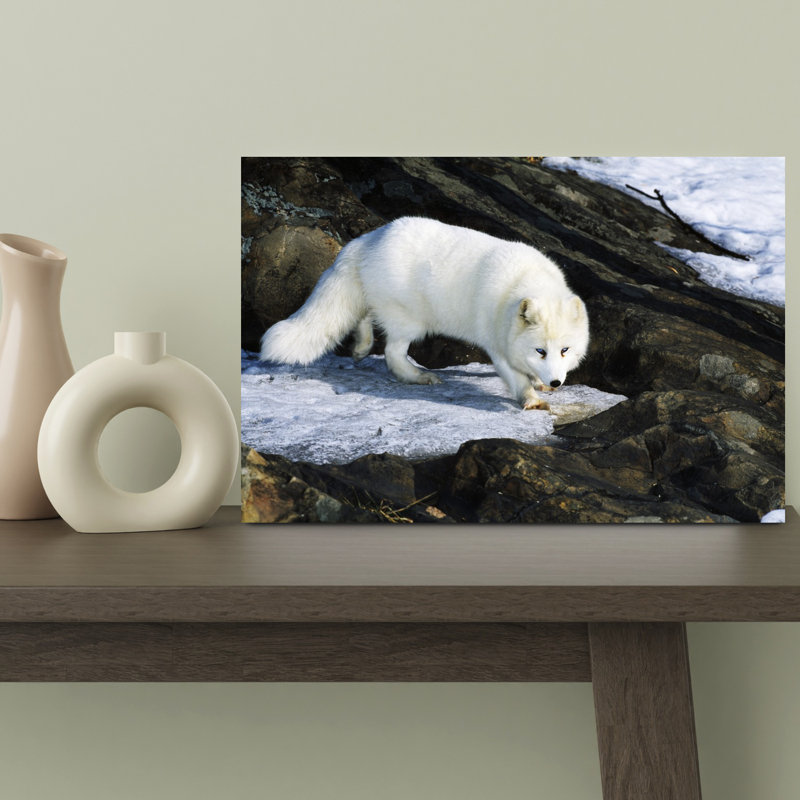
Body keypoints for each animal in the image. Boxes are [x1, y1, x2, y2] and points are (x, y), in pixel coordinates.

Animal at [260, 216, 590, 410]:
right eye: (539, 350)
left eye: (564, 350)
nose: (556, 383)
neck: (526, 281)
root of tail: (366, 239)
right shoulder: (496, 345)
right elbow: (515, 377)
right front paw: (531, 399)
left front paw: (538, 384)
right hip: (410, 321)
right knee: (392, 353)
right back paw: (418, 377)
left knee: (365, 315)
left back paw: (361, 347)